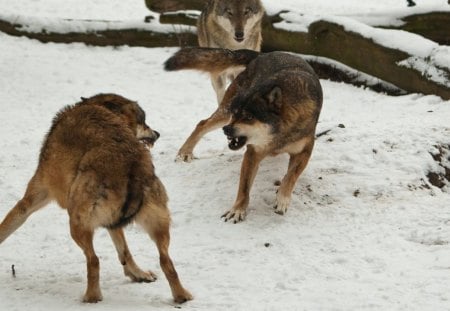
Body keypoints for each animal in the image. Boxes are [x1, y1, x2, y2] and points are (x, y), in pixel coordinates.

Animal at [0, 94, 192, 304]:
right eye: (143, 122)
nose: (157, 133)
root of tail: (132, 167)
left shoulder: (30, 199)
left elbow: (5, 228)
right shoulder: (112, 223)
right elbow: (124, 252)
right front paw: (137, 274)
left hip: (76, 223)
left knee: (94, 260)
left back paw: (91, 296)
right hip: (158, 225)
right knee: (166, 262)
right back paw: (181, 296)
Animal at [165, 47, 324, 223]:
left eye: (248, 117)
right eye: (236, 114)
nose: (226, 130)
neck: (279, 133)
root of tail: (262, 54)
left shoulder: (304, 152)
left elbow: (291, 177)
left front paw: (282, 199)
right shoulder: (253, 153)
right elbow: (244, 188)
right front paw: (238, 210)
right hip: (224, 112)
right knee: (202, 123)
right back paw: (184, 152)